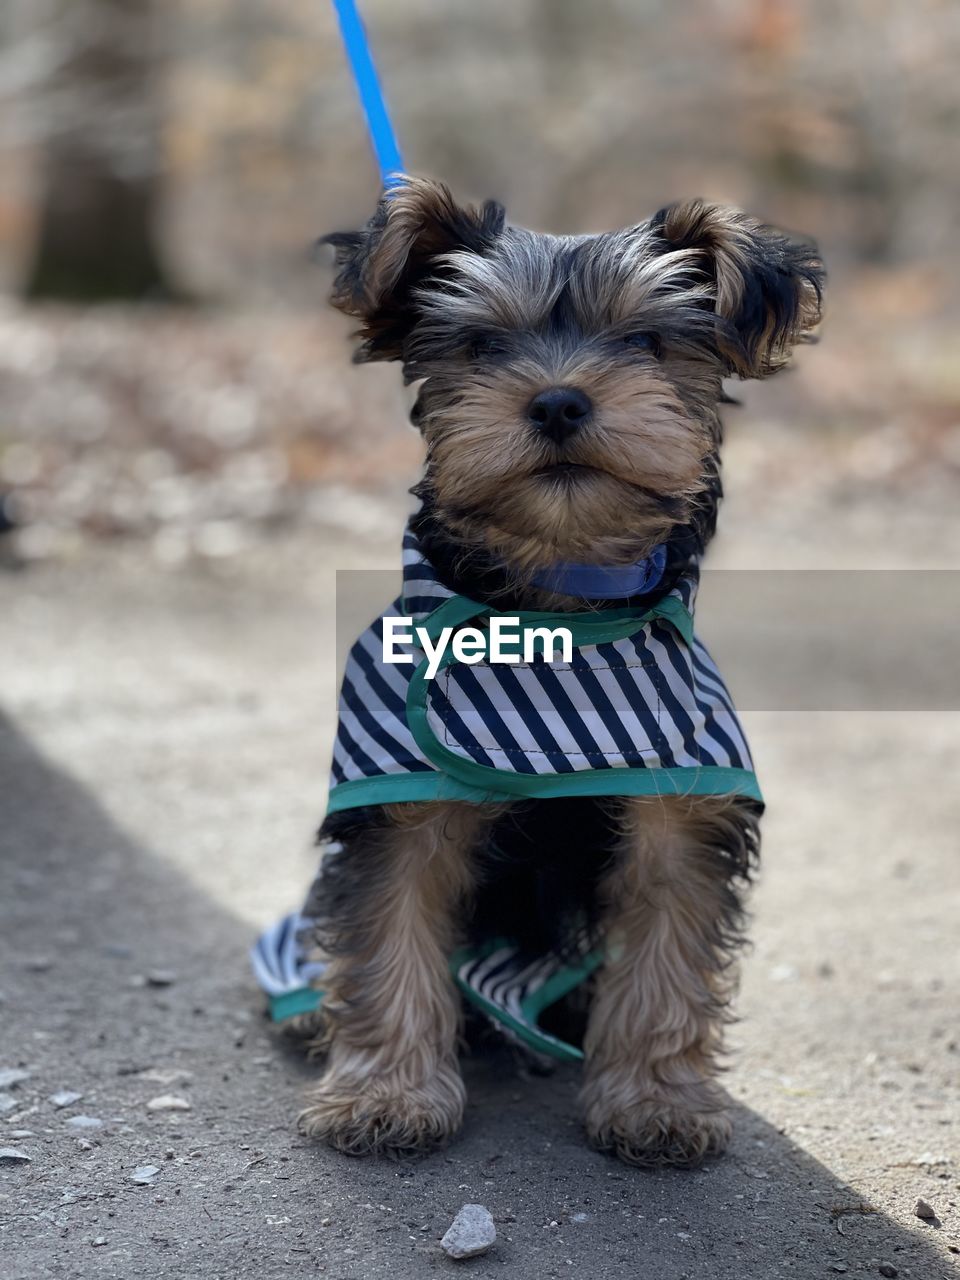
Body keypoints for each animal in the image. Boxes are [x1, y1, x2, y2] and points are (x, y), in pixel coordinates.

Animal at [296, 177, 824, 1172]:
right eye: (481, 346)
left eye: (647, 342)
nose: (557, 402)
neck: (558, 602)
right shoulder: (402, 795)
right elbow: (391, 932)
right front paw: (386, 1094)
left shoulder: (681, 798)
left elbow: (665, 949)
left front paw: (654, 1101)